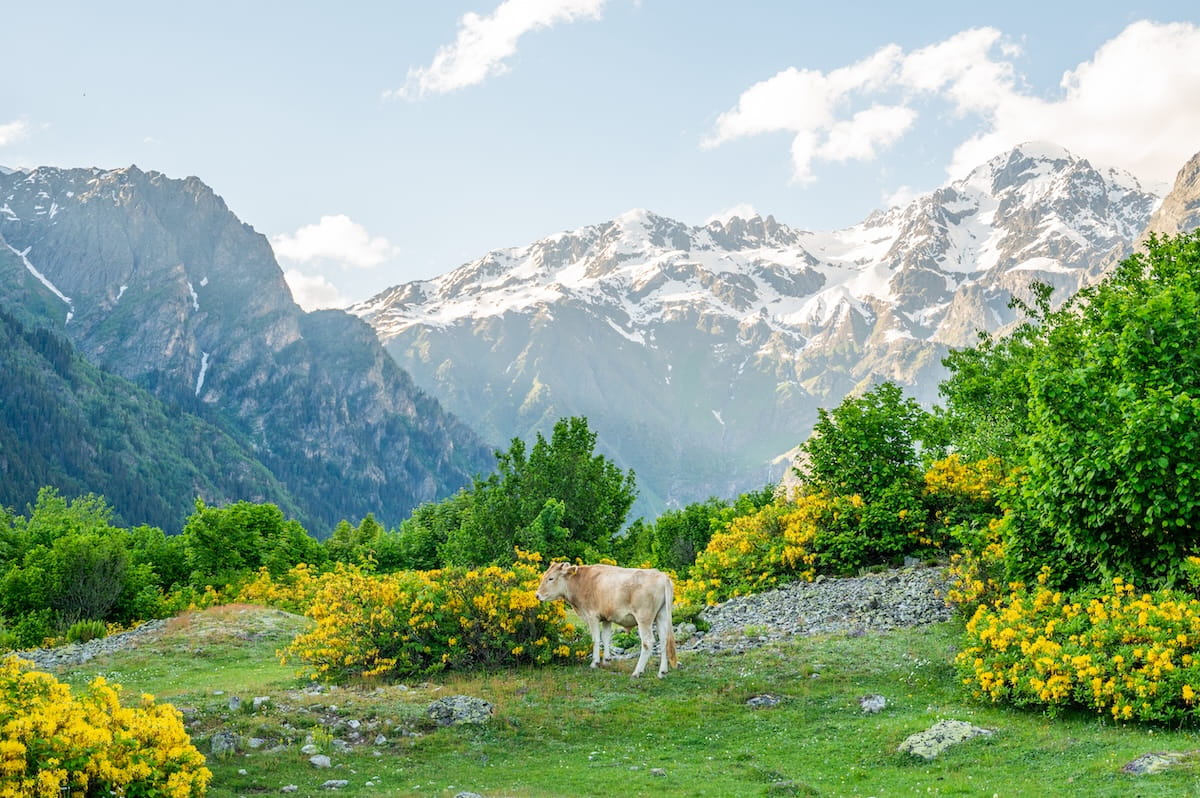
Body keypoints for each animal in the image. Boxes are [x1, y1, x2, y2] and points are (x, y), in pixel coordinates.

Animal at [535, 561, 678, 678]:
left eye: (551, 578)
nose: (537, 595)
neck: (581, 583)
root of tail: (661, 575)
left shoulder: (592, 616)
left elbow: (596, 639)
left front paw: (595, 663)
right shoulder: (606, 617)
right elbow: (606, 637)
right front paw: (607, 661)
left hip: (644, 618)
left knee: (648, 642)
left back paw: (637, 672)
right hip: (661, 615)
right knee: (664, 640)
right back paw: (662, 672)